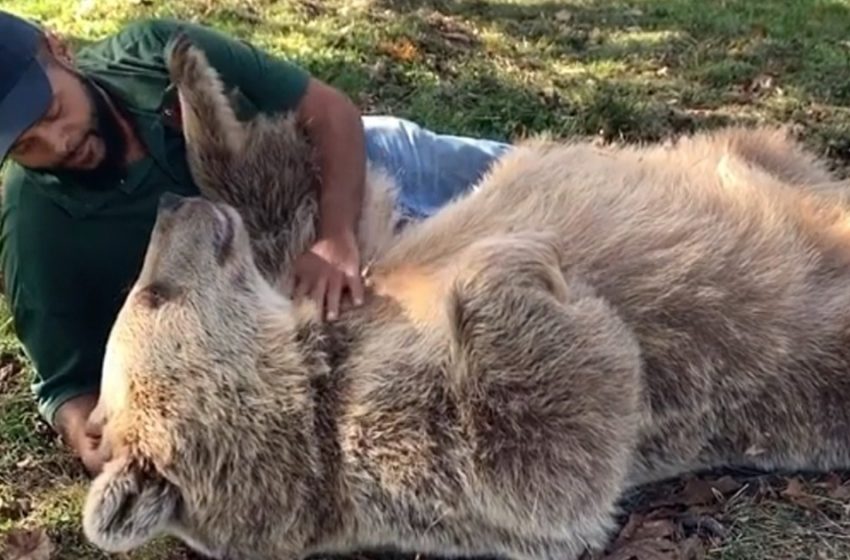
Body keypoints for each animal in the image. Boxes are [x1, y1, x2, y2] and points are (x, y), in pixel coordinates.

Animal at [81, 34, 850, 560]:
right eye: (148, 296)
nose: (172, 207)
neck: (313, 366)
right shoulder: (389, 446)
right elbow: (556, 451)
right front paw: (516, 261)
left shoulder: (350, 269)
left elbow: (301, 193)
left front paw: (189, 75)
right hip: (811, 362)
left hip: (758, 155)